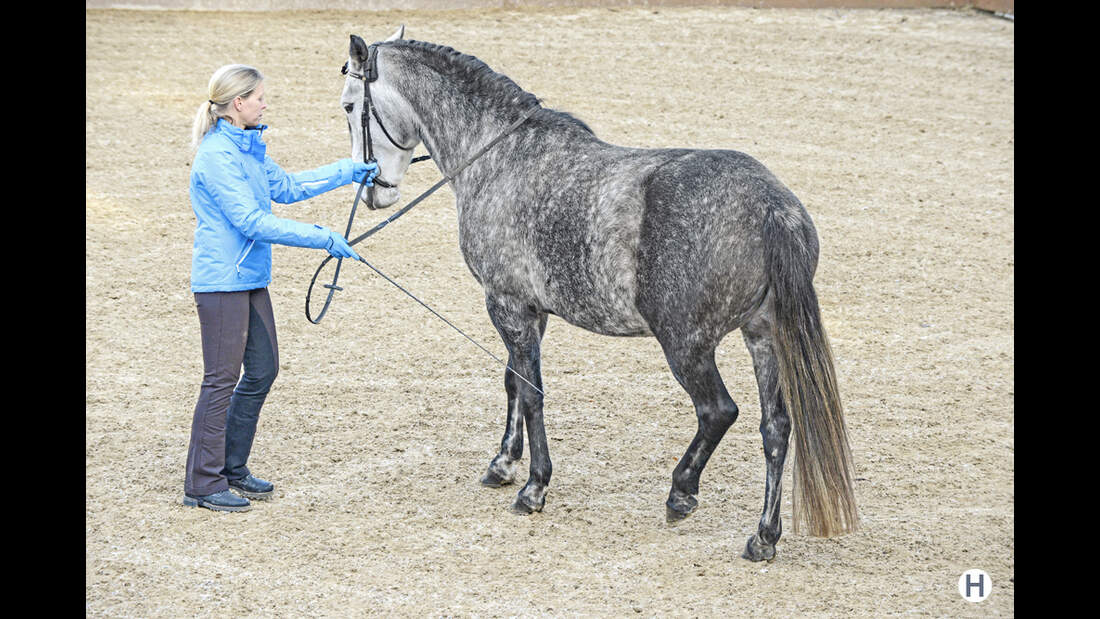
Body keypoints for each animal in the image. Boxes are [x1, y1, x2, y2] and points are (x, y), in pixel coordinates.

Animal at [340, 26, 859, 561]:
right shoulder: (531, 312)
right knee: (775, 428)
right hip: (763, 336)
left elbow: (531, 392)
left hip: (687, 345)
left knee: (718, 412)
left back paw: (681, 492)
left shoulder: (507, 306)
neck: (500, 156)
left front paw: (534, 487)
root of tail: (771, 205)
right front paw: (503, 464)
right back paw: (763, 536)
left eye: (349, 105)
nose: (374, 190)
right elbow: (513, 382)